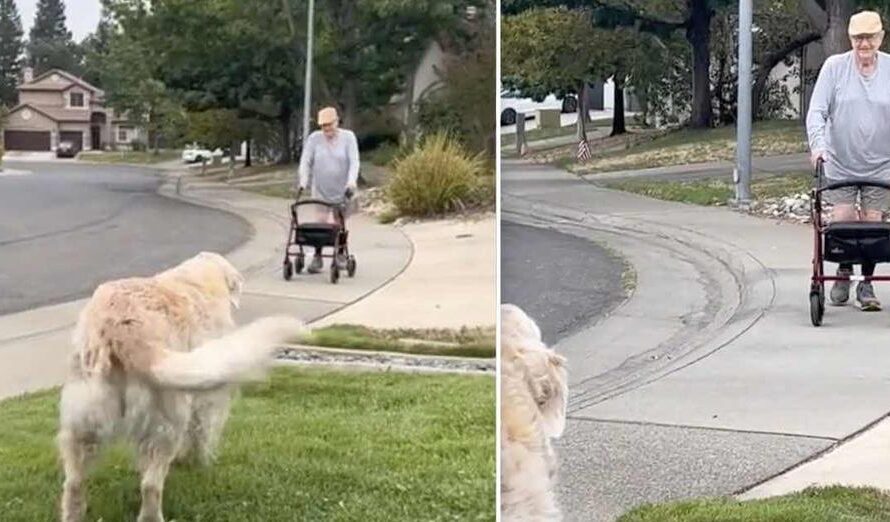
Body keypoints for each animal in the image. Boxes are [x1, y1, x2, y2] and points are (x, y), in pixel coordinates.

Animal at [59, 250, 304, 516]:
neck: (201, 277)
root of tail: (123, 329)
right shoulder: (209, 396)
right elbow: (202, 431)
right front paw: (200, 461)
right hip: (166, 423)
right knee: (151, 485)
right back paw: (153, 513)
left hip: (84, 420)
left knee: (74, 482)